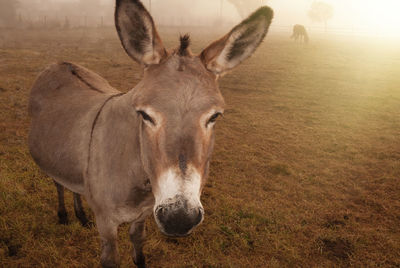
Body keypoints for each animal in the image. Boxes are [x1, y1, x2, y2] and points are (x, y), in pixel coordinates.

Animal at [27, 1, 272, 266]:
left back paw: (81, 215)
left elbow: (138, 242)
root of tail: (61, 62)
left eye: (214, 116)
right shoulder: (106, 222)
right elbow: (111, 258)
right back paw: (63, 215)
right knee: (58, 183)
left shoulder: (143, 213)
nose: (179, 219)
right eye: (144, 115)